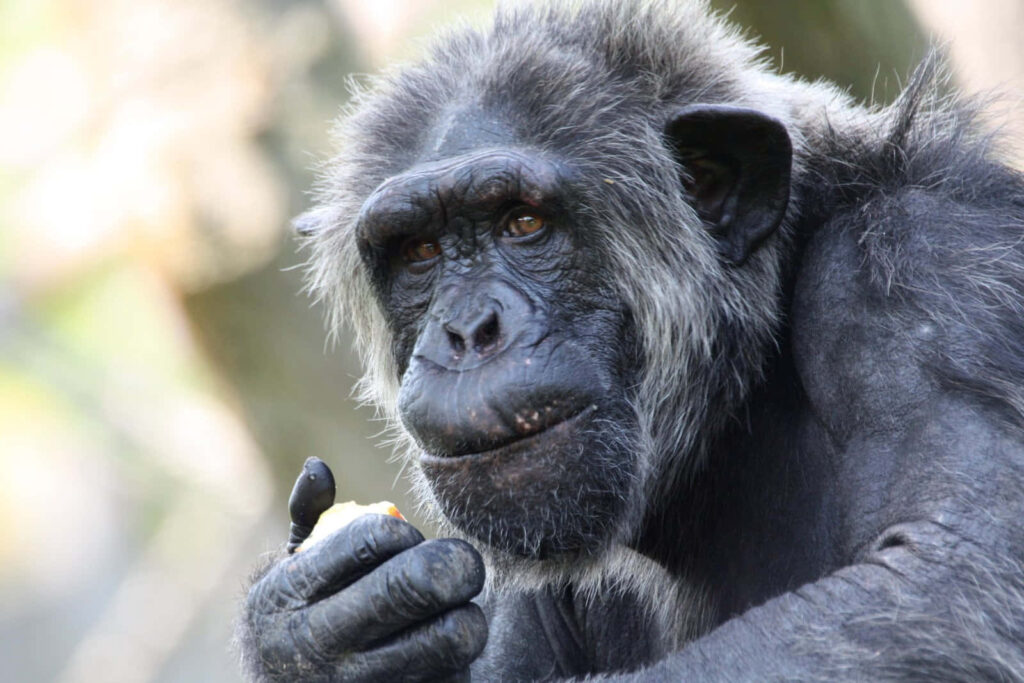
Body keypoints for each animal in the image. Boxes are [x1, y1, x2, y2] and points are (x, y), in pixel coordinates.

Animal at [237, 1, 1024, 680]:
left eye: (524, 222)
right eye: (420, 251)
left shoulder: (925, 272)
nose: (468, 330)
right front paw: (308, 631)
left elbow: (944, 580)